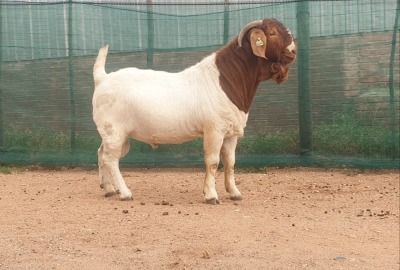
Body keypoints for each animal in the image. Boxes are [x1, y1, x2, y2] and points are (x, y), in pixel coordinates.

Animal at [92, 19, 296, 204]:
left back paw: (108, 189)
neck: (226, 79)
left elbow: (230, 163)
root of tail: (103, 78)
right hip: (114, 130)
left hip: (116, 134)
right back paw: (125, 193)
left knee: (102, 153)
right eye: (272, 33)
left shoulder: (231, 134)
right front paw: (211, 196)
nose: (293, 51)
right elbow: (212, 162)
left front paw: (235, 193)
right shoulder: (214, 130)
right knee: (111, 158)